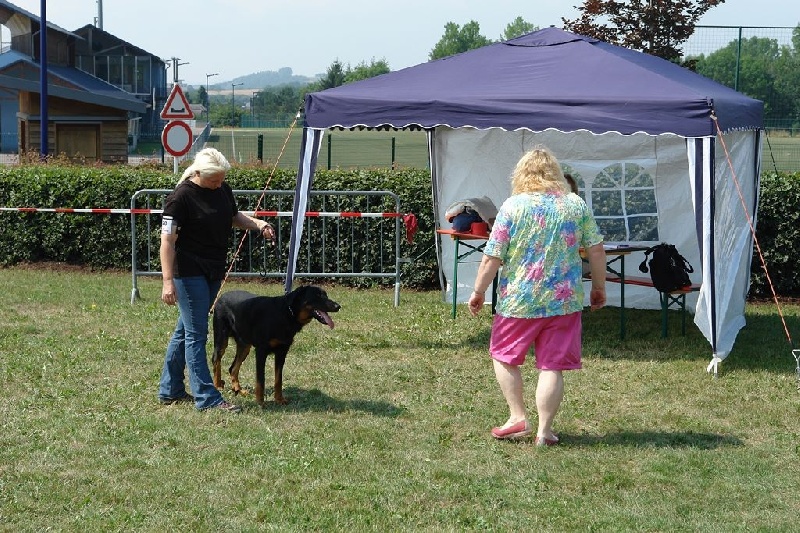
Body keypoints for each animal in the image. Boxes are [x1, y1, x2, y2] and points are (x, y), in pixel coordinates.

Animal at [211, 285, 340, 405]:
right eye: (317, 296)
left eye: (326, 295)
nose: (338, 306)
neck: (287, 313)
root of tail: (221, 297)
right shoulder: (261, 351)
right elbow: (261, 380)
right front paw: (260, 402)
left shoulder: (282, 352)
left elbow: (279, 379)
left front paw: (279, 399)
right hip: (221, 339)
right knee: (216, 360)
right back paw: (218, 386)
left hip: (244, 346)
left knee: (233, 368)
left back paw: (238, 389)